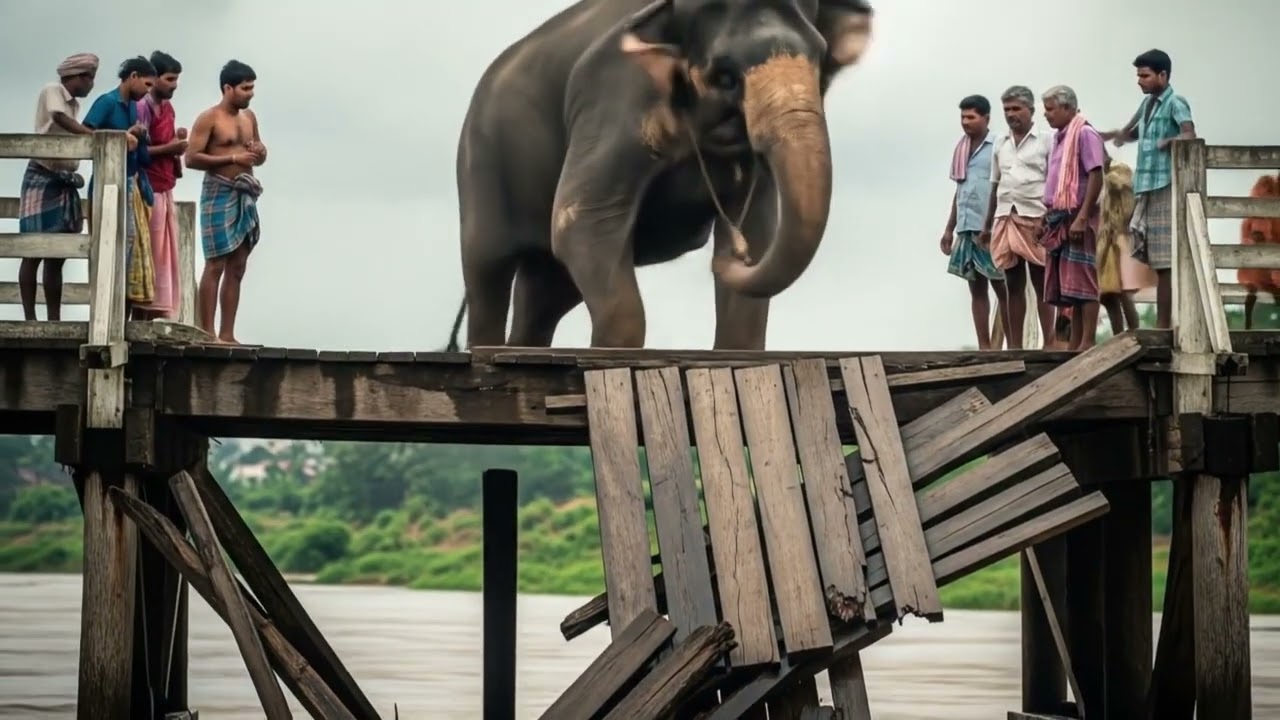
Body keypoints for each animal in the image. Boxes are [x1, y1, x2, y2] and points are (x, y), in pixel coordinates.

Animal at [450, 0, 875, 352]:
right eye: (724, 77)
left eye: (820, 59)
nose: (733, 257)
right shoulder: (615, 96)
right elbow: (582, 220)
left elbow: (759, 230)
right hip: (480, 164)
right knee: (488, 273)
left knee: (546, 290)